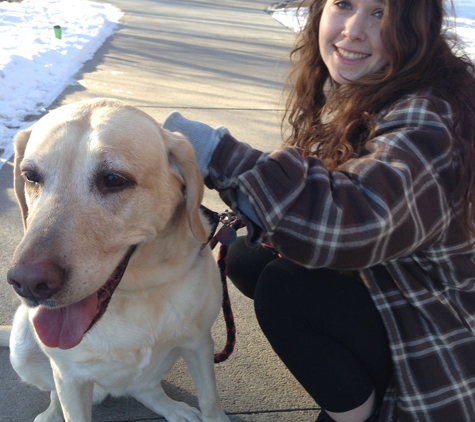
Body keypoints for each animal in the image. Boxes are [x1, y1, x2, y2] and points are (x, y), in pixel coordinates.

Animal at [0, 99, 231, 422]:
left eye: (113, 179)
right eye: (30, 176)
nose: (29, 284)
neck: (134, 293)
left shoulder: (199, 343)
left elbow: (210, 402)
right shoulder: (69, 376)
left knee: (146, 389)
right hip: (23, 343)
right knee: (56, 394)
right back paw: (51, 414)